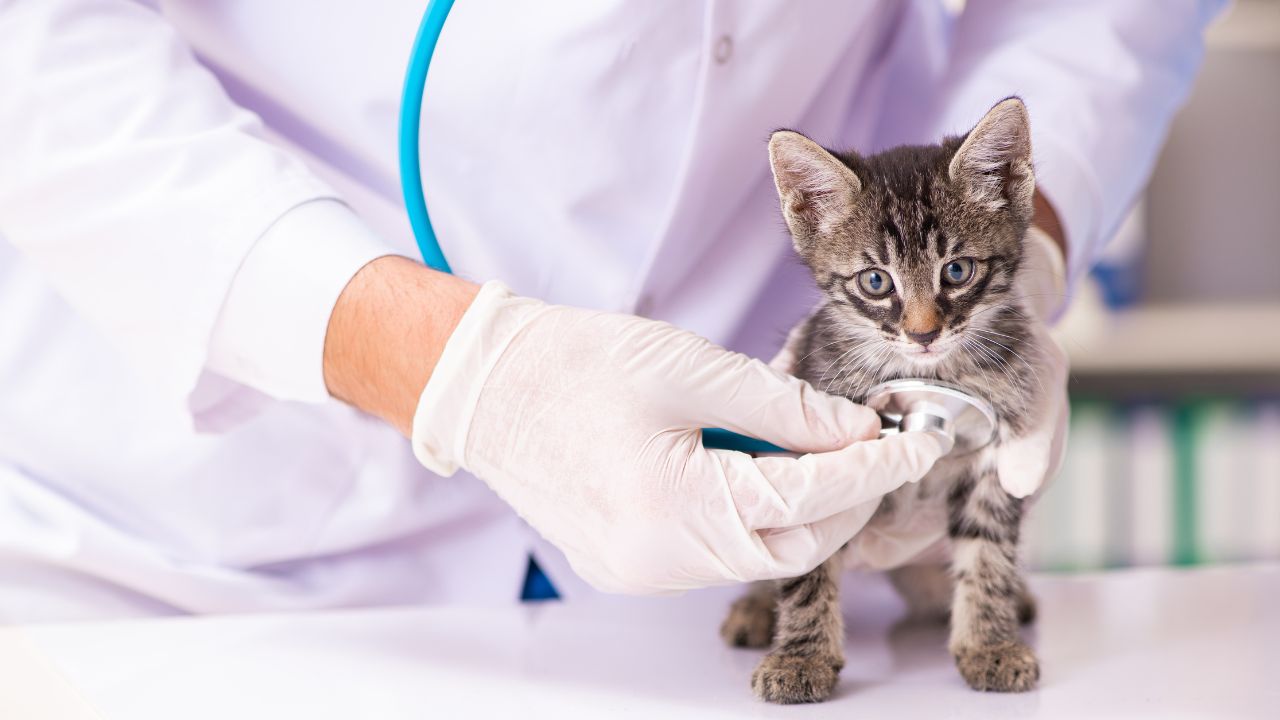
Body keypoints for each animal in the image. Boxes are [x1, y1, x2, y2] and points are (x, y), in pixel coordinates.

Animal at [721, 98, 1049, 696]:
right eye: (876, 281)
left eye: (957, 271)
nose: (923, 333)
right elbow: (806, 564)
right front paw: (800, 658)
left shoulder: (1000, 452)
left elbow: (987, 550)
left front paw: (989, 643)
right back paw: (755, 608)